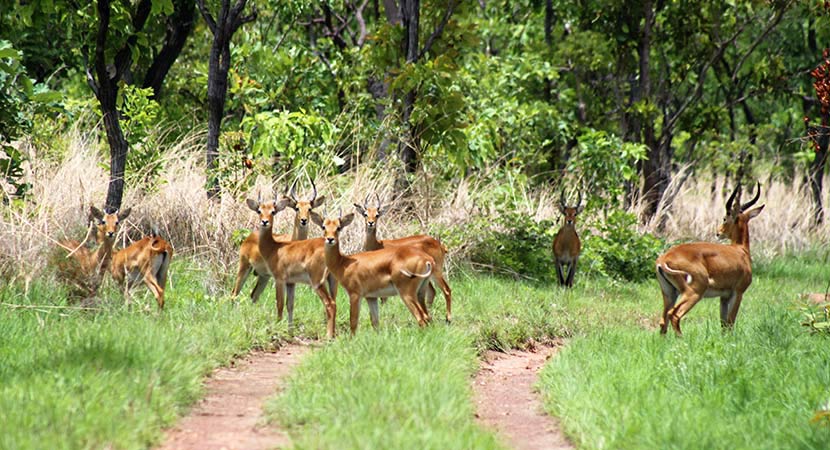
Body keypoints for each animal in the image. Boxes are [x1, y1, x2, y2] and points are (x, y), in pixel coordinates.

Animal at [656, 180, 768, 334]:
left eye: (724, 218)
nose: (718, 232)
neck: (740, 251)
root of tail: (664, 259)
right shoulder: (738, 292)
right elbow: (731, 322)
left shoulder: (724, 297)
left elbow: (724, 323)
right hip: (694, 292)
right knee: (674, 315)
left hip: (669, 293)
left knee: (663, 321)